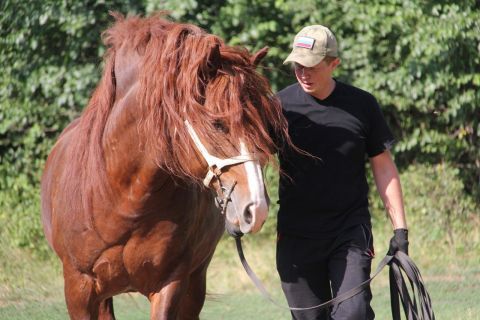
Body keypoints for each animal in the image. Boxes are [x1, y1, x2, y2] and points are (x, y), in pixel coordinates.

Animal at [41, 11, 288, 320]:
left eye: (264, 123)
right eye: (217, 123)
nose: (256, 208)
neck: (122, 200)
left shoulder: (170, 284)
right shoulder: (79, 290)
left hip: (195, 282)